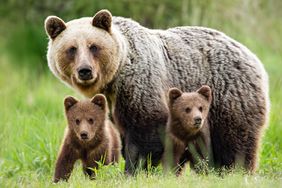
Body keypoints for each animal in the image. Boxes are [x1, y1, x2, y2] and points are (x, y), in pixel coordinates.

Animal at [44, 9, 268, 175]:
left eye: (93, 46)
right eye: (71, 48)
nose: (85, 70)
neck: (114, 78)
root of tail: (250, 54)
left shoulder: (140, 84)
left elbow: (145, 129)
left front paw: (133, 170)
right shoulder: (114, 102)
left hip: (228, 94)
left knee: (235, 138)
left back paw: (234, 170)